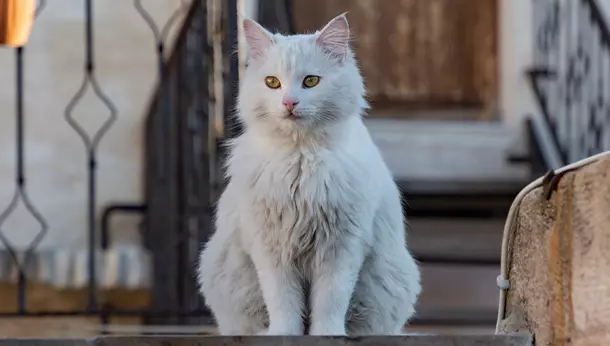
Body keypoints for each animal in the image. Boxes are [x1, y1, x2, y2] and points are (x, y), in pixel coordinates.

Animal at [197, 13, 420, 336]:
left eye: (311, 81)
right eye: (272, 83)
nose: (289, 103)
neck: (300, 158)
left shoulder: (341, 247)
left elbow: (330, 302)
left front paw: (328, 335)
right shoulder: (271, 249)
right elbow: (283, 303)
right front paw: (283, 335)